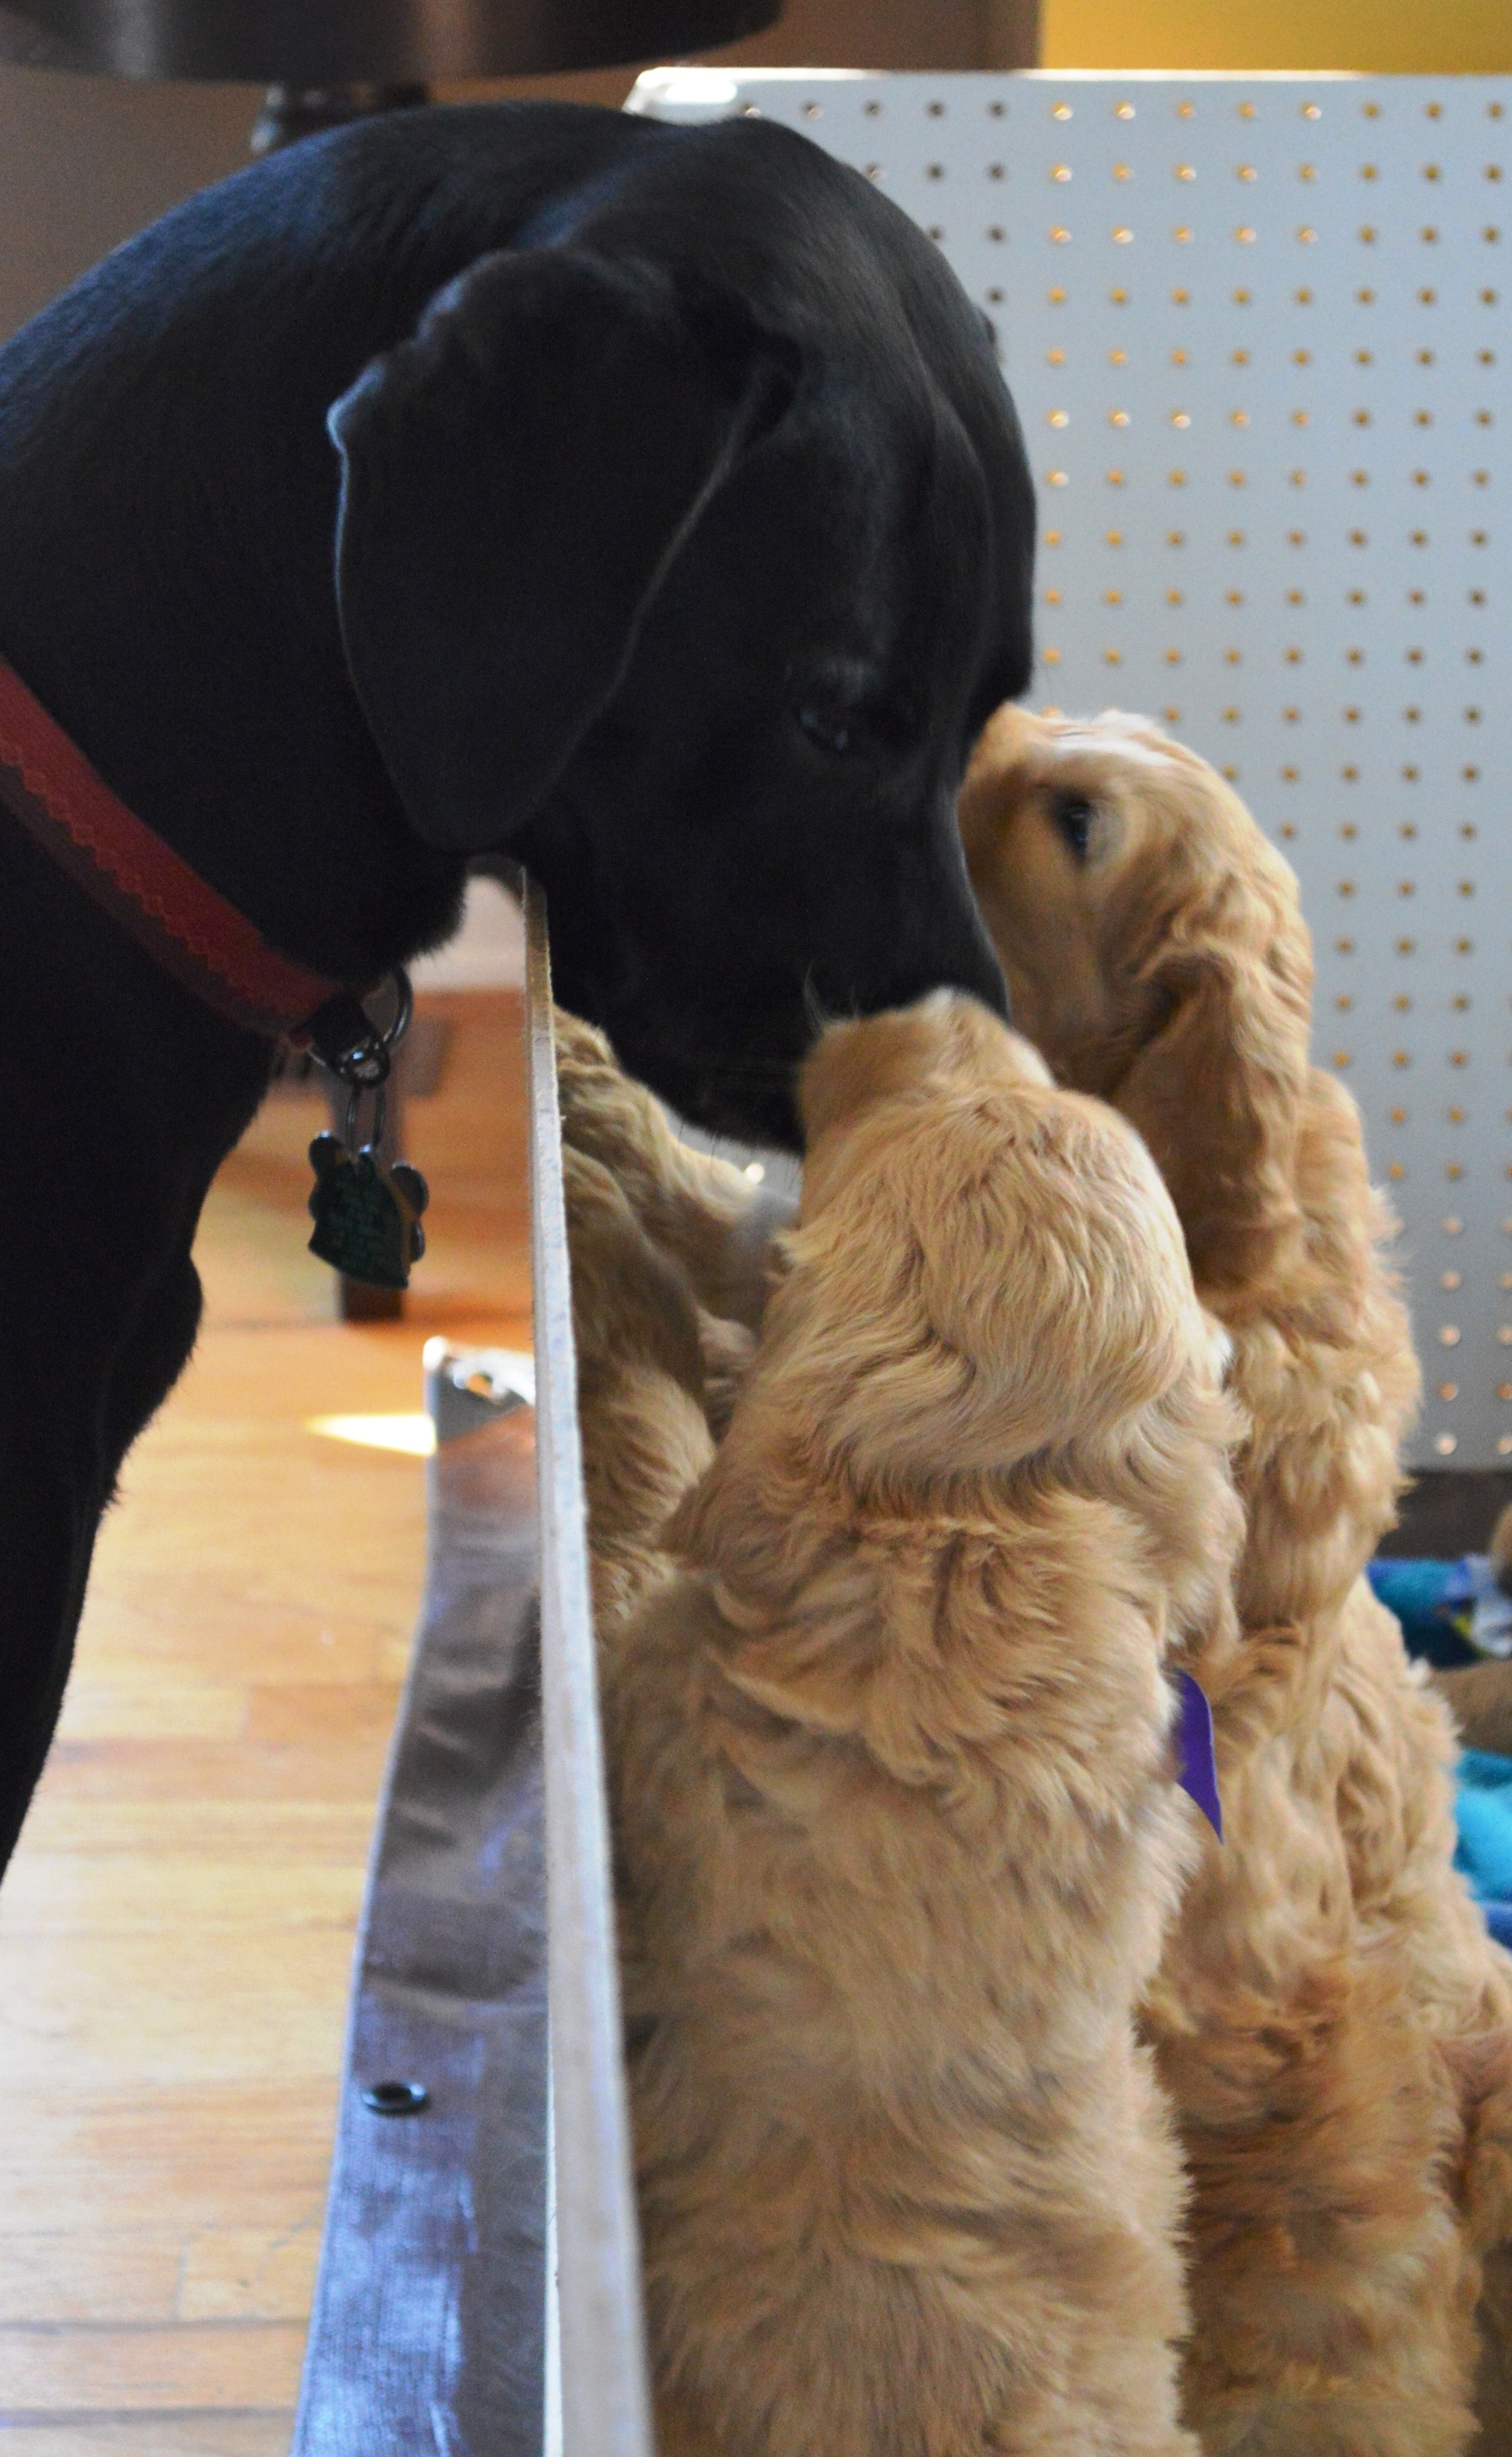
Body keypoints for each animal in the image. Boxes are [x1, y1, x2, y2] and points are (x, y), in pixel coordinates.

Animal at [578, 993, 1243, 2456]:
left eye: (899, 1106)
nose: (942, 998)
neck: (972, 1536)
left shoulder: (658, 1699)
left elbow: (644, 1468)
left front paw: (595, 1172)